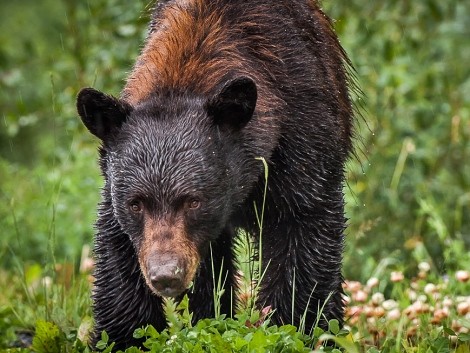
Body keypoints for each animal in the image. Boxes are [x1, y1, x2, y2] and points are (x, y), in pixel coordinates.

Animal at [76, 0, 352, 348]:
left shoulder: (301, 138)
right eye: (136, 204)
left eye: (193, 201)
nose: (165, 274)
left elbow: (302, 231)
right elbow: (118, 252)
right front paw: (123, 338)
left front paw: (297, 328)